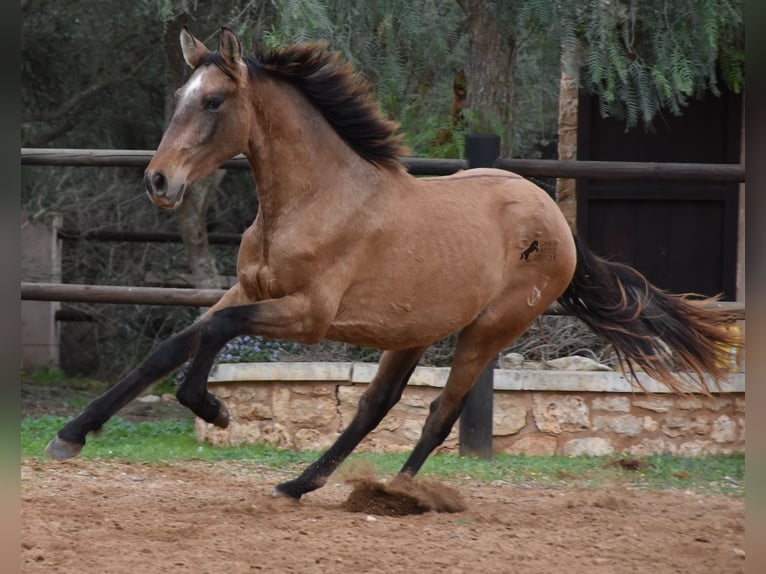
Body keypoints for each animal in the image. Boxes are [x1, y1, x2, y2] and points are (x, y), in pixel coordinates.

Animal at [48, 29, 744, 502]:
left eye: (215, 100)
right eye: (180, 96)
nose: (158, 182)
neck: (312, 200)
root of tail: (554, 217)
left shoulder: (308, 316)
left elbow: (213, 337)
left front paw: (213, 409)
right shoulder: (244, 290)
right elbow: (169, 350)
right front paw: (71, 434)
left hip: (488, 330)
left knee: (440, 415)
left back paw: (397, 493)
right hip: (411, 332)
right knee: (375, 405)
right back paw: (300, 484)